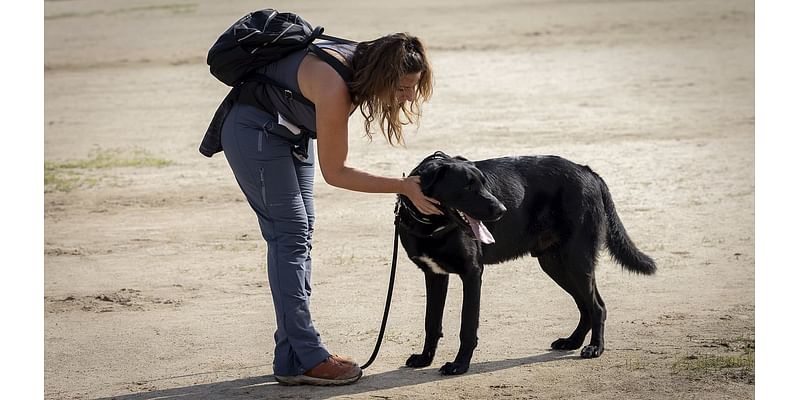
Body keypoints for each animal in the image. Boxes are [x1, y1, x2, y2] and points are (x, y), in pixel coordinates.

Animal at [400, 152, 656, 376]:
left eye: (483, 183)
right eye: (466, 186)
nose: (502, 210)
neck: (431, 226)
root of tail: (587, 171)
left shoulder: (472, 274)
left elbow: (467, 326)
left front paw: (459, 365)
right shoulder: (434, 274)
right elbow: (431, 322)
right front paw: (425, 359)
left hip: (576, 261)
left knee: (597, 306)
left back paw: (595, 348)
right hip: (556, 265)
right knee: (585, 306)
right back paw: (572, 341)